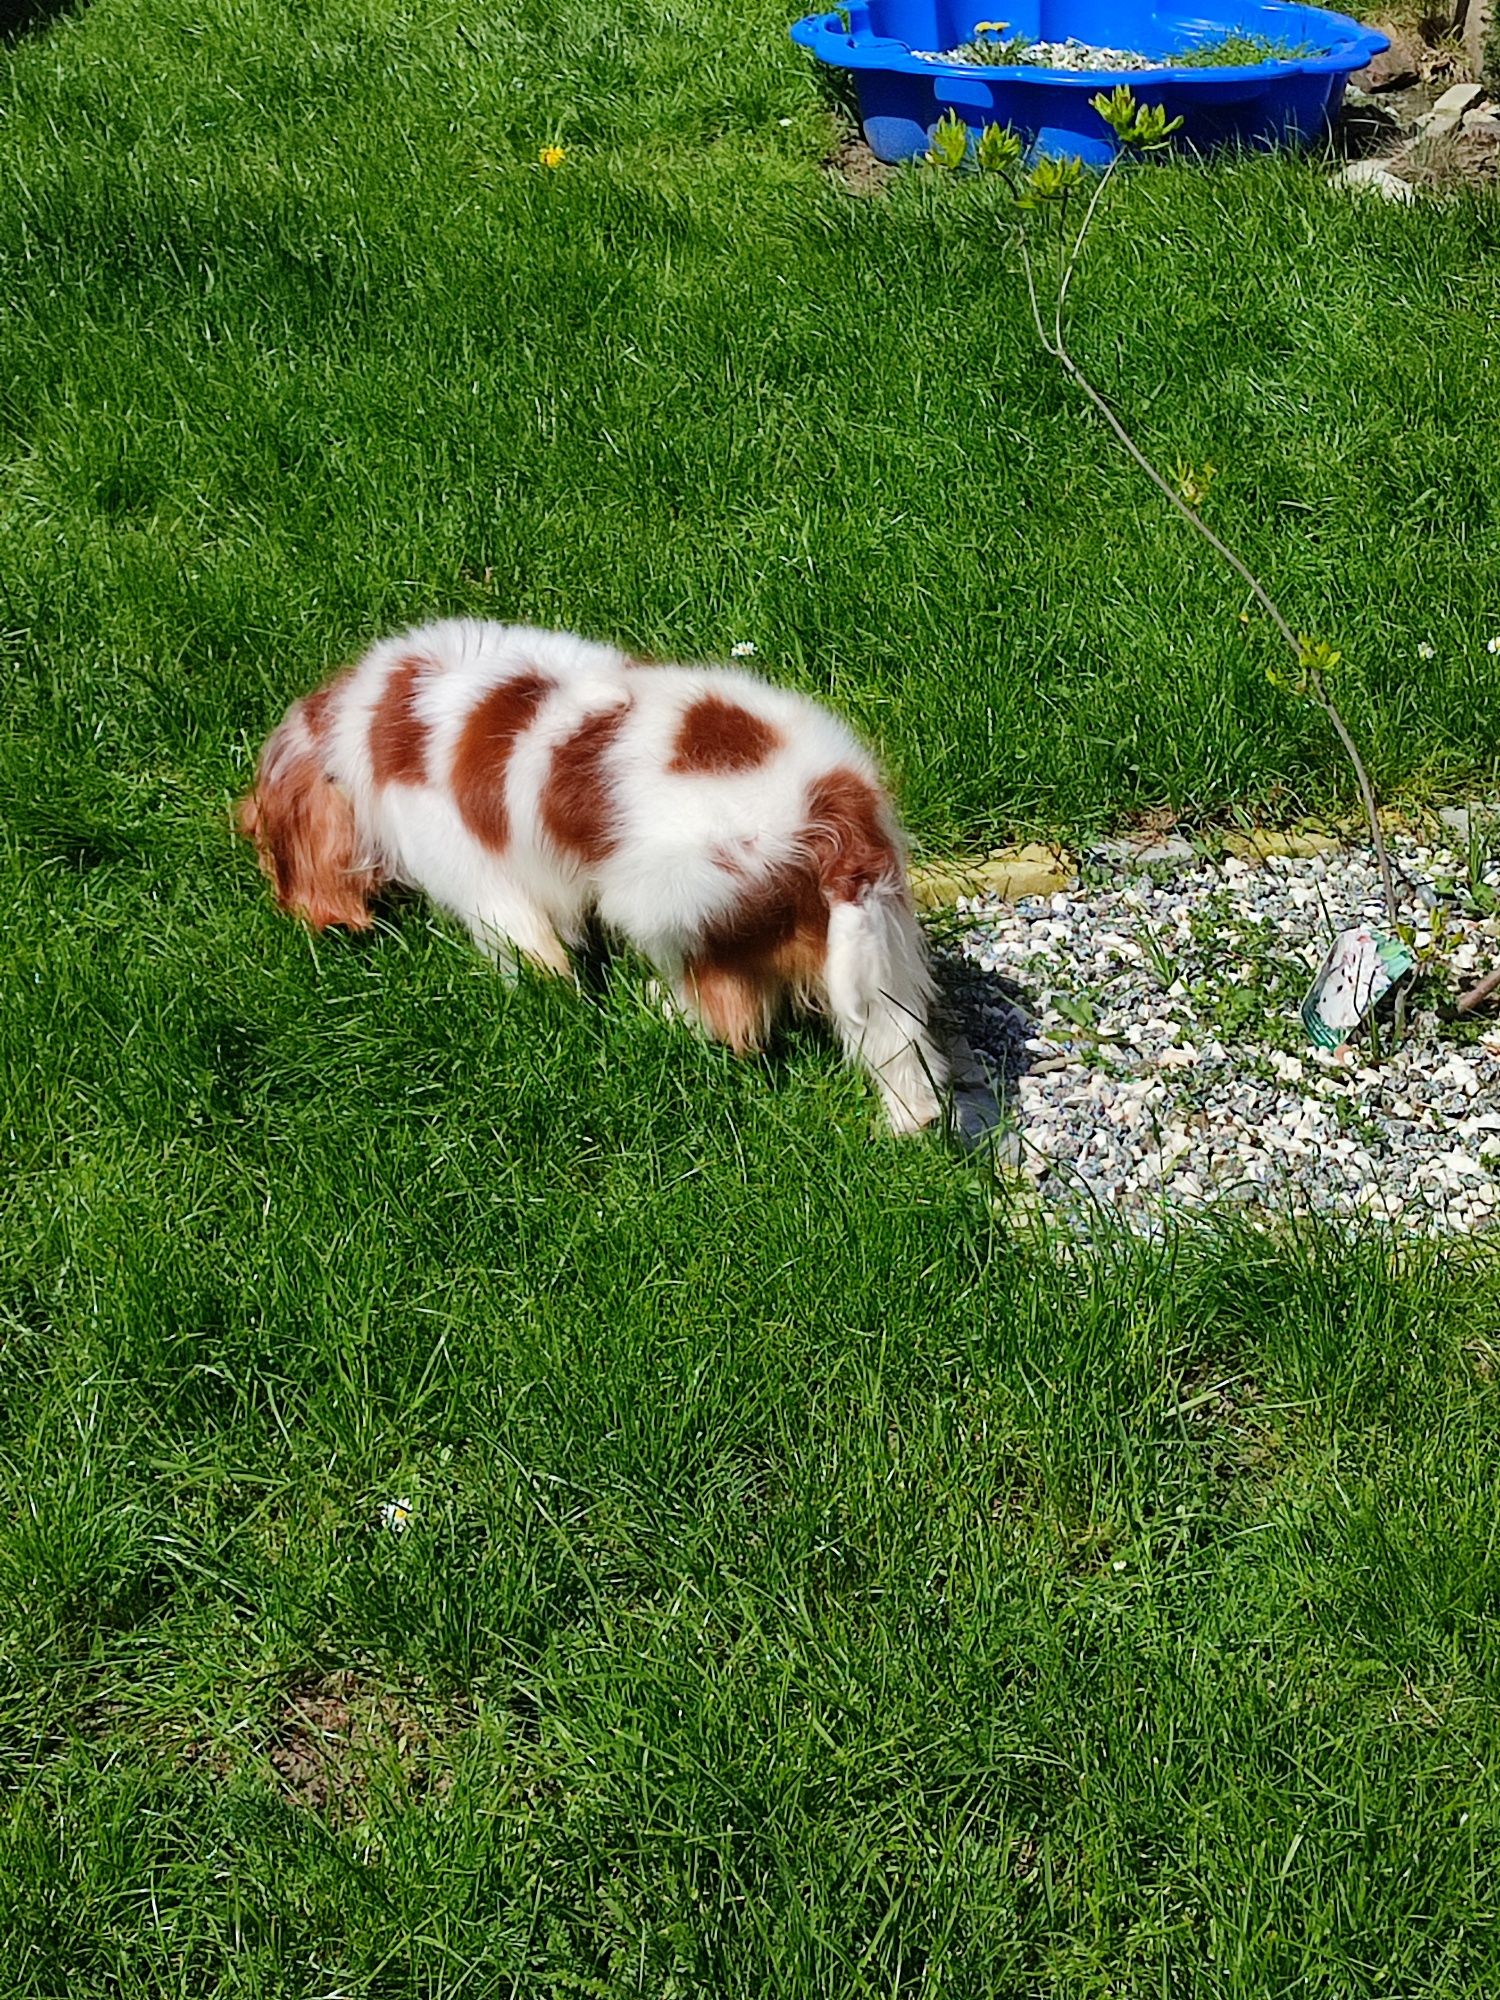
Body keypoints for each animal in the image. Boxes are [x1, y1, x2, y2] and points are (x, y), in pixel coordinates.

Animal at [242, 616, 952, 1136]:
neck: (373, 717)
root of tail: (832, 816)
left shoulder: (478, 880)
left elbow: (531, 954)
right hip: (880, 941)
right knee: (899, 1057)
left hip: (662, 904)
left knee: (731, 1018)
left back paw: (654, 1009)